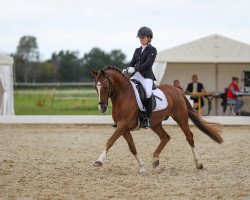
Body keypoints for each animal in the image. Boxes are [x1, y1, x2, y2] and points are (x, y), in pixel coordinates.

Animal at [91, 66, 223, 172]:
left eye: (105, 86)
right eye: (95, 87)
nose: (102, 107)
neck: (123, 96)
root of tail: (177, 90)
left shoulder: (123, 125)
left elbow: (110, 141)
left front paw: (99, 160)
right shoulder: (123, 128)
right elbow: (132, 147)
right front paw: (142, 167)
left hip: (180, 117)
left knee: (189, 136)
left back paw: (198, 164)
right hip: (155, 123)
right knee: (165, 137)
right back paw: (155, 160)